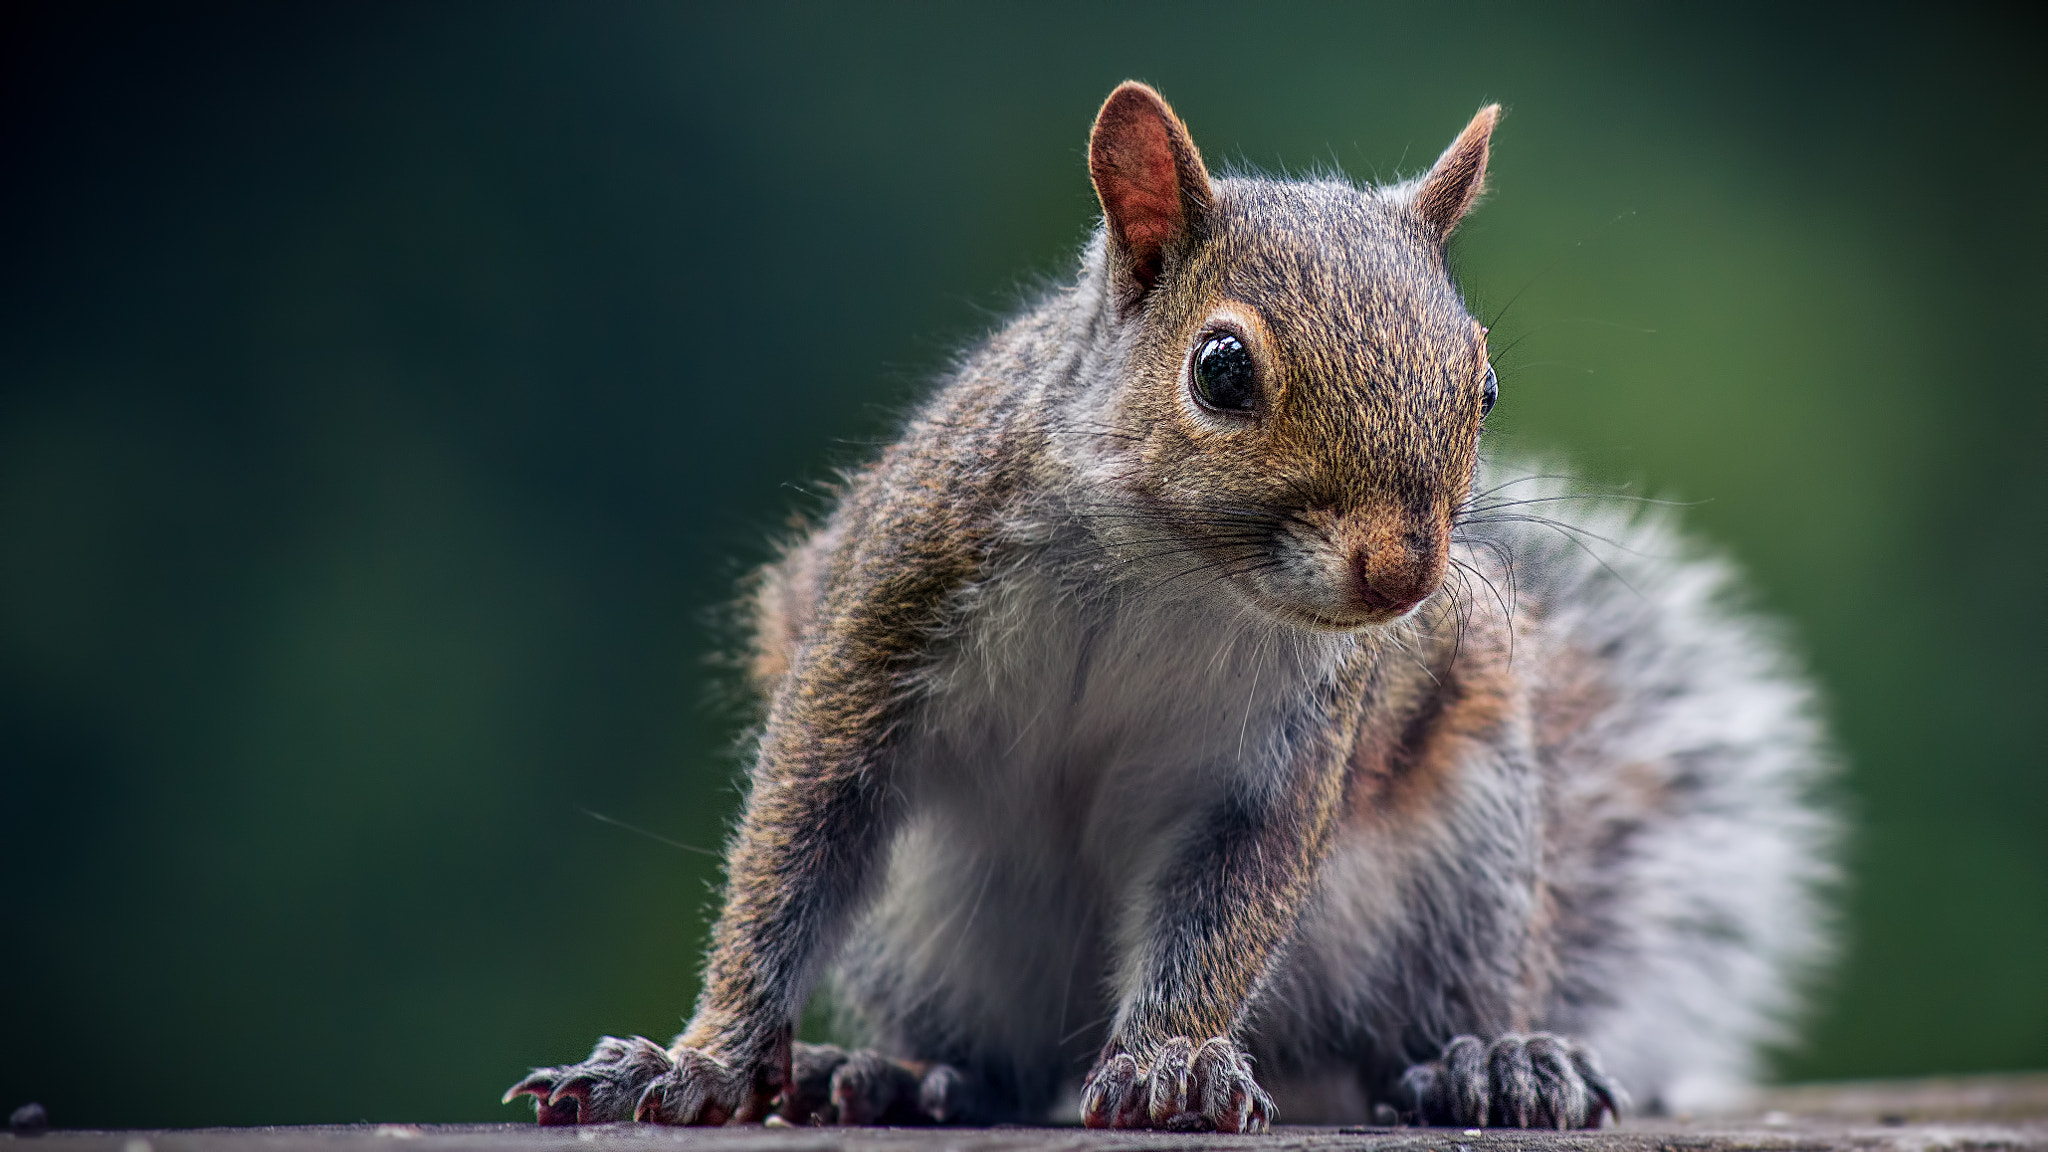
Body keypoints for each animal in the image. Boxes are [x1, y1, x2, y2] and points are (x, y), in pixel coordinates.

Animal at [507, 81, 1835, 1132]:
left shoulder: (1286, 744)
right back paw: (884, 1076)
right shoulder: (890, 614)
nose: (1402, 578)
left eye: (1485, 382)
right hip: (935, 927)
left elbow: (1228, 904)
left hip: (1466, 859)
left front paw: (1169, 1064)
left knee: (1421, 1023)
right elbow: (796, 838)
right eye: (1220, 368)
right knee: (991, 1072)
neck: (1167, 569)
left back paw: (1491, 1063)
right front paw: (697, 1061)